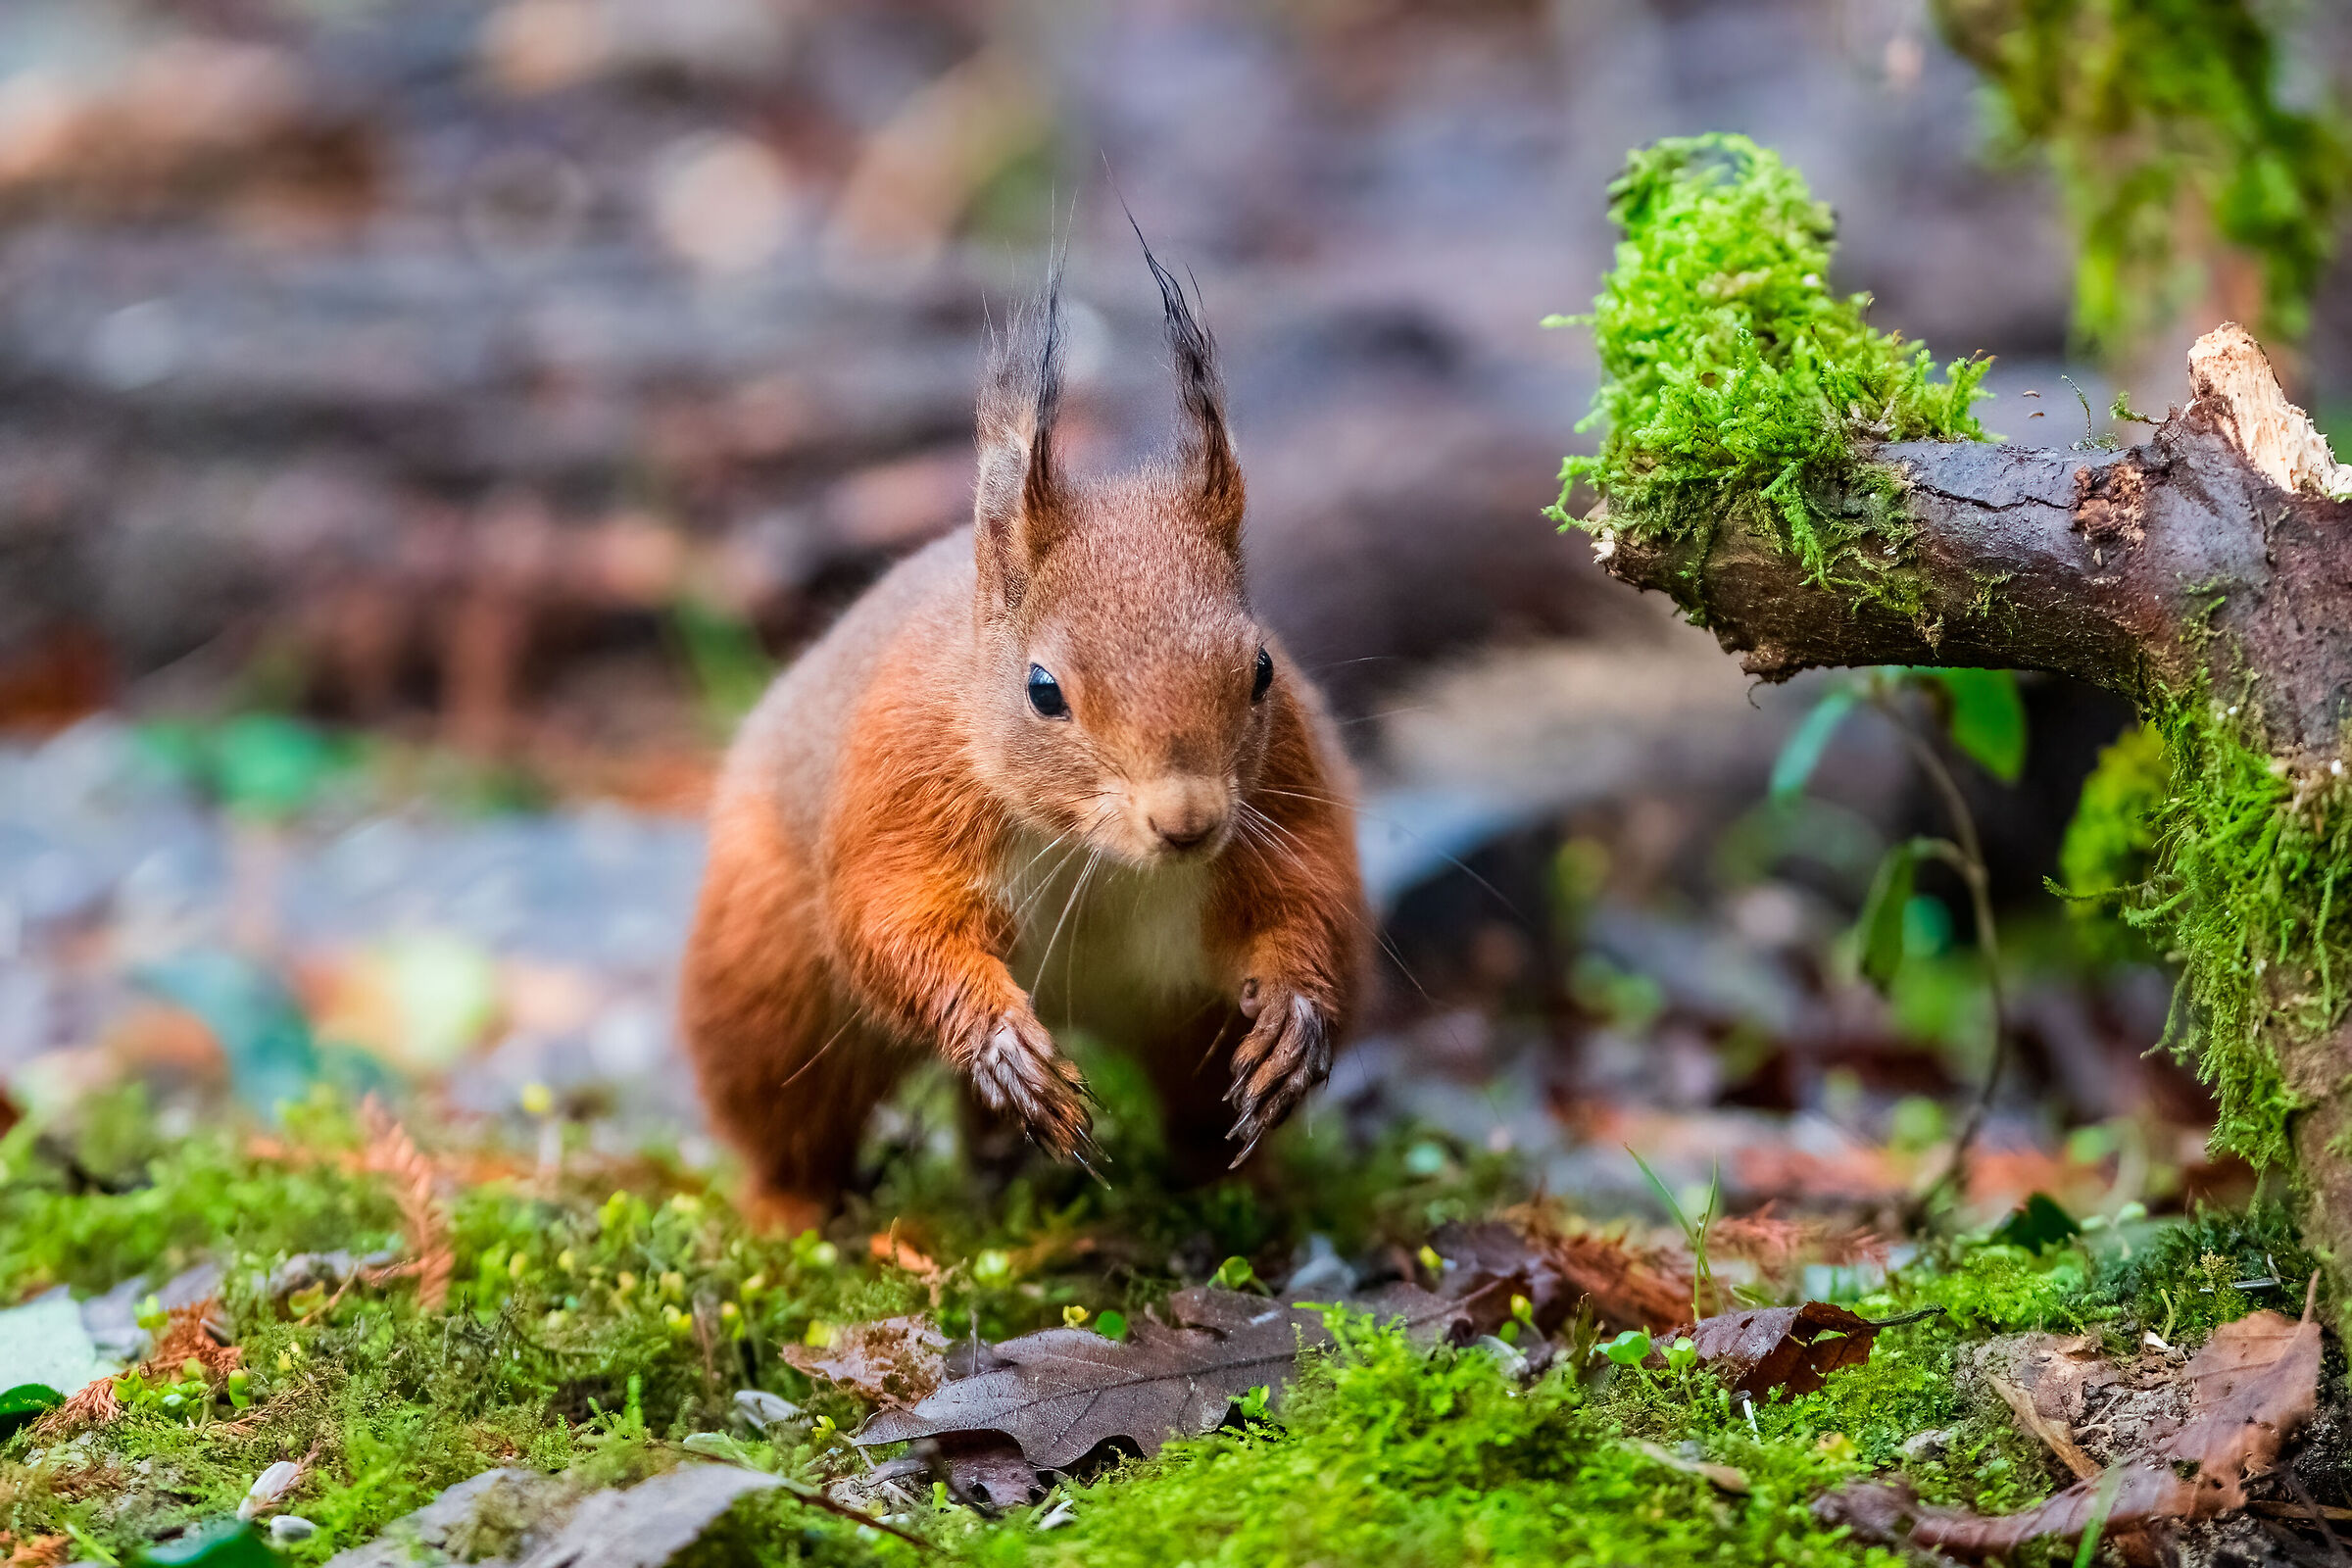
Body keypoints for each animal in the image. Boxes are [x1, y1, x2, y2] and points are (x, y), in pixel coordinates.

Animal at [680, 241, 1368, 1226]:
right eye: (1044, 690)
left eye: (1264, 670)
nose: (1188, 823)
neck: (1097, 853)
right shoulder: (904, 786)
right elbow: (893, 923)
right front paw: (999, 1044)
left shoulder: (1286, 791)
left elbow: (1311, 899)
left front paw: (1295, 1020)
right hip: (767, 991)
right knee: (788, 1123)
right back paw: (797, 1213)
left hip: (1187, 1022)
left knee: (1200, 1119)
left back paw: (1236, 1193)